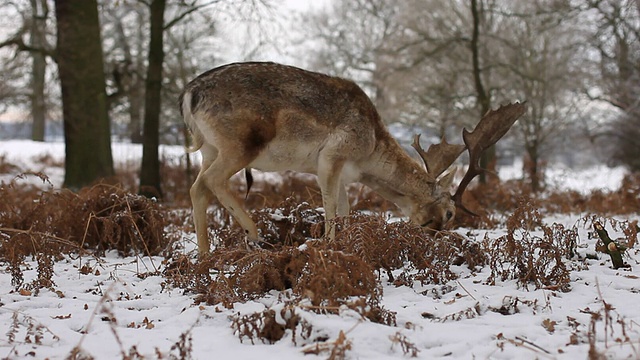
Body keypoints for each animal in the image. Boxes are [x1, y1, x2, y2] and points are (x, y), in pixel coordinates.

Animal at [180, 62, 524, 255]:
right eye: (451, 213)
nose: (434, 234)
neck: (369, 152)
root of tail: (188, 94)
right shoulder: (332, 157)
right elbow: (331, 207)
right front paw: (330, 246)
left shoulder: (345, 174)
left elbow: (345, 210)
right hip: (239, 144)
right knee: (210, 181)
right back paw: (254, 235)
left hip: (209, 148)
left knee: (198, 187)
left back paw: (204, 254)